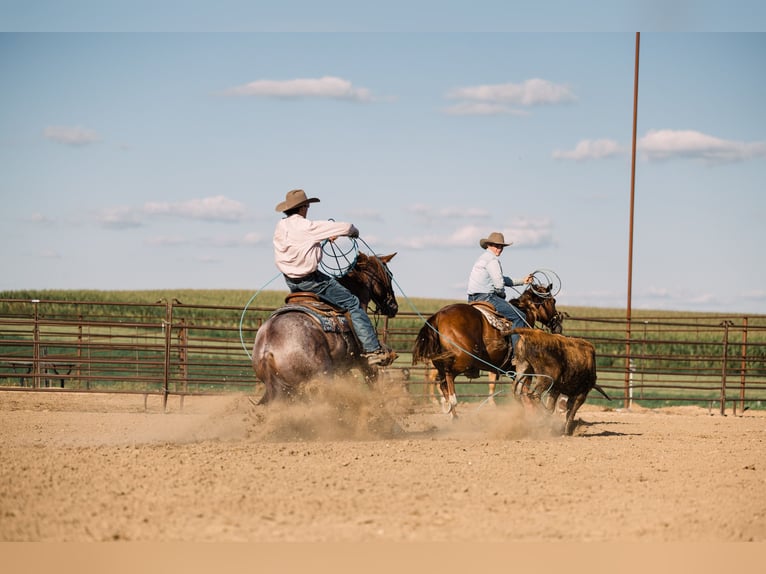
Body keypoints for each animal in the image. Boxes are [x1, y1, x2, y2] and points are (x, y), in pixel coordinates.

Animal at [256, 254, 402, 408]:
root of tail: (268, 350)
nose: (394, 306)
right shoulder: (364, 362)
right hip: (320, 377)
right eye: (389, 275)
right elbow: (373, 382)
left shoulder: (343, 367)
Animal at [414, 284, 564, 418]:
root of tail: (438, 316)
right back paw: (451, 402)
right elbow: (527, 393)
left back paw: (452, 414)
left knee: (442, 380)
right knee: (446, 378)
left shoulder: (513, 371)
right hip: (464, 360)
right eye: (553, 301)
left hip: (441, 362)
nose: (558, 325)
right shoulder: (524, 370)